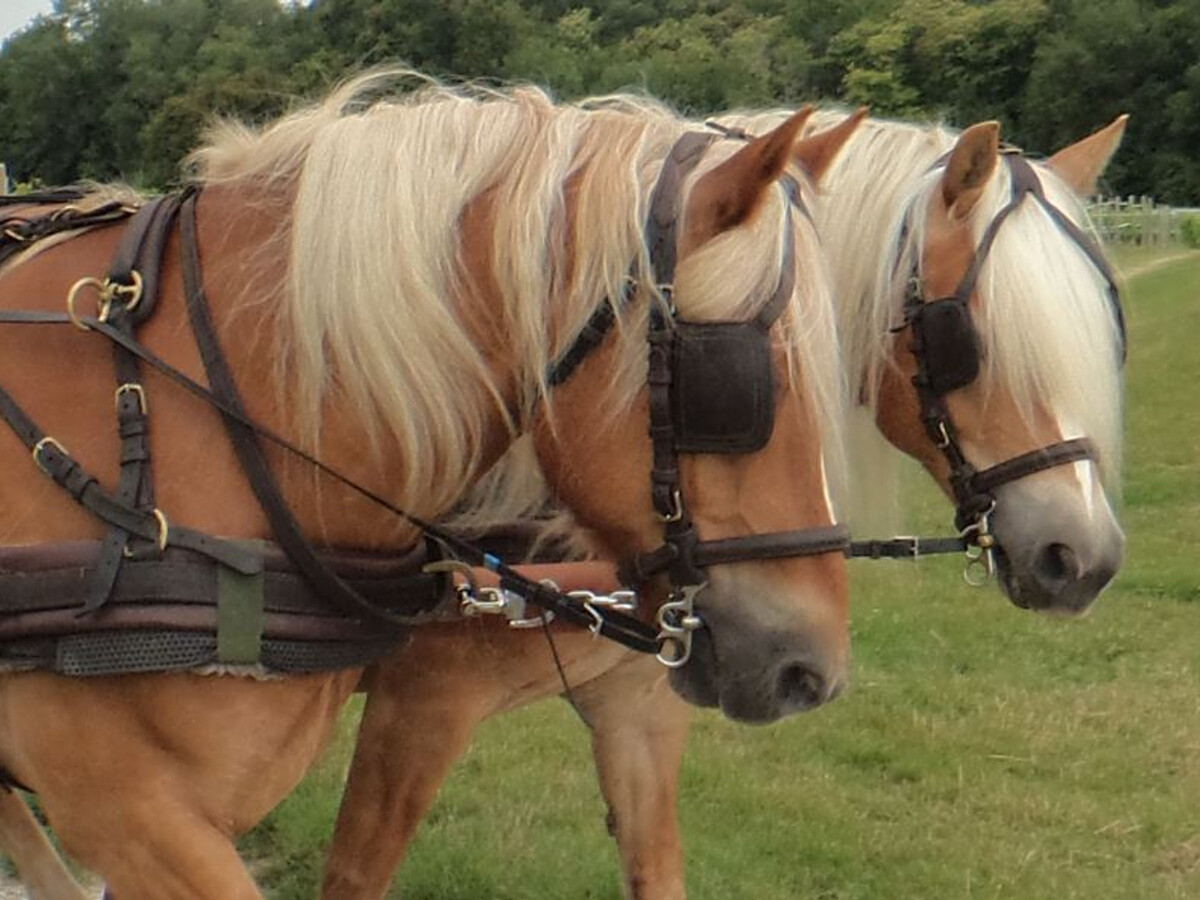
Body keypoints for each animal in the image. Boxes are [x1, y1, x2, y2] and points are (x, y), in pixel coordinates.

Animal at [317, 110, 1130, 900]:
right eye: (966, 338)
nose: (1084, 556)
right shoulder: (420, 708)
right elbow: (355, 873)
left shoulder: (640, 706)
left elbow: (656, 868)